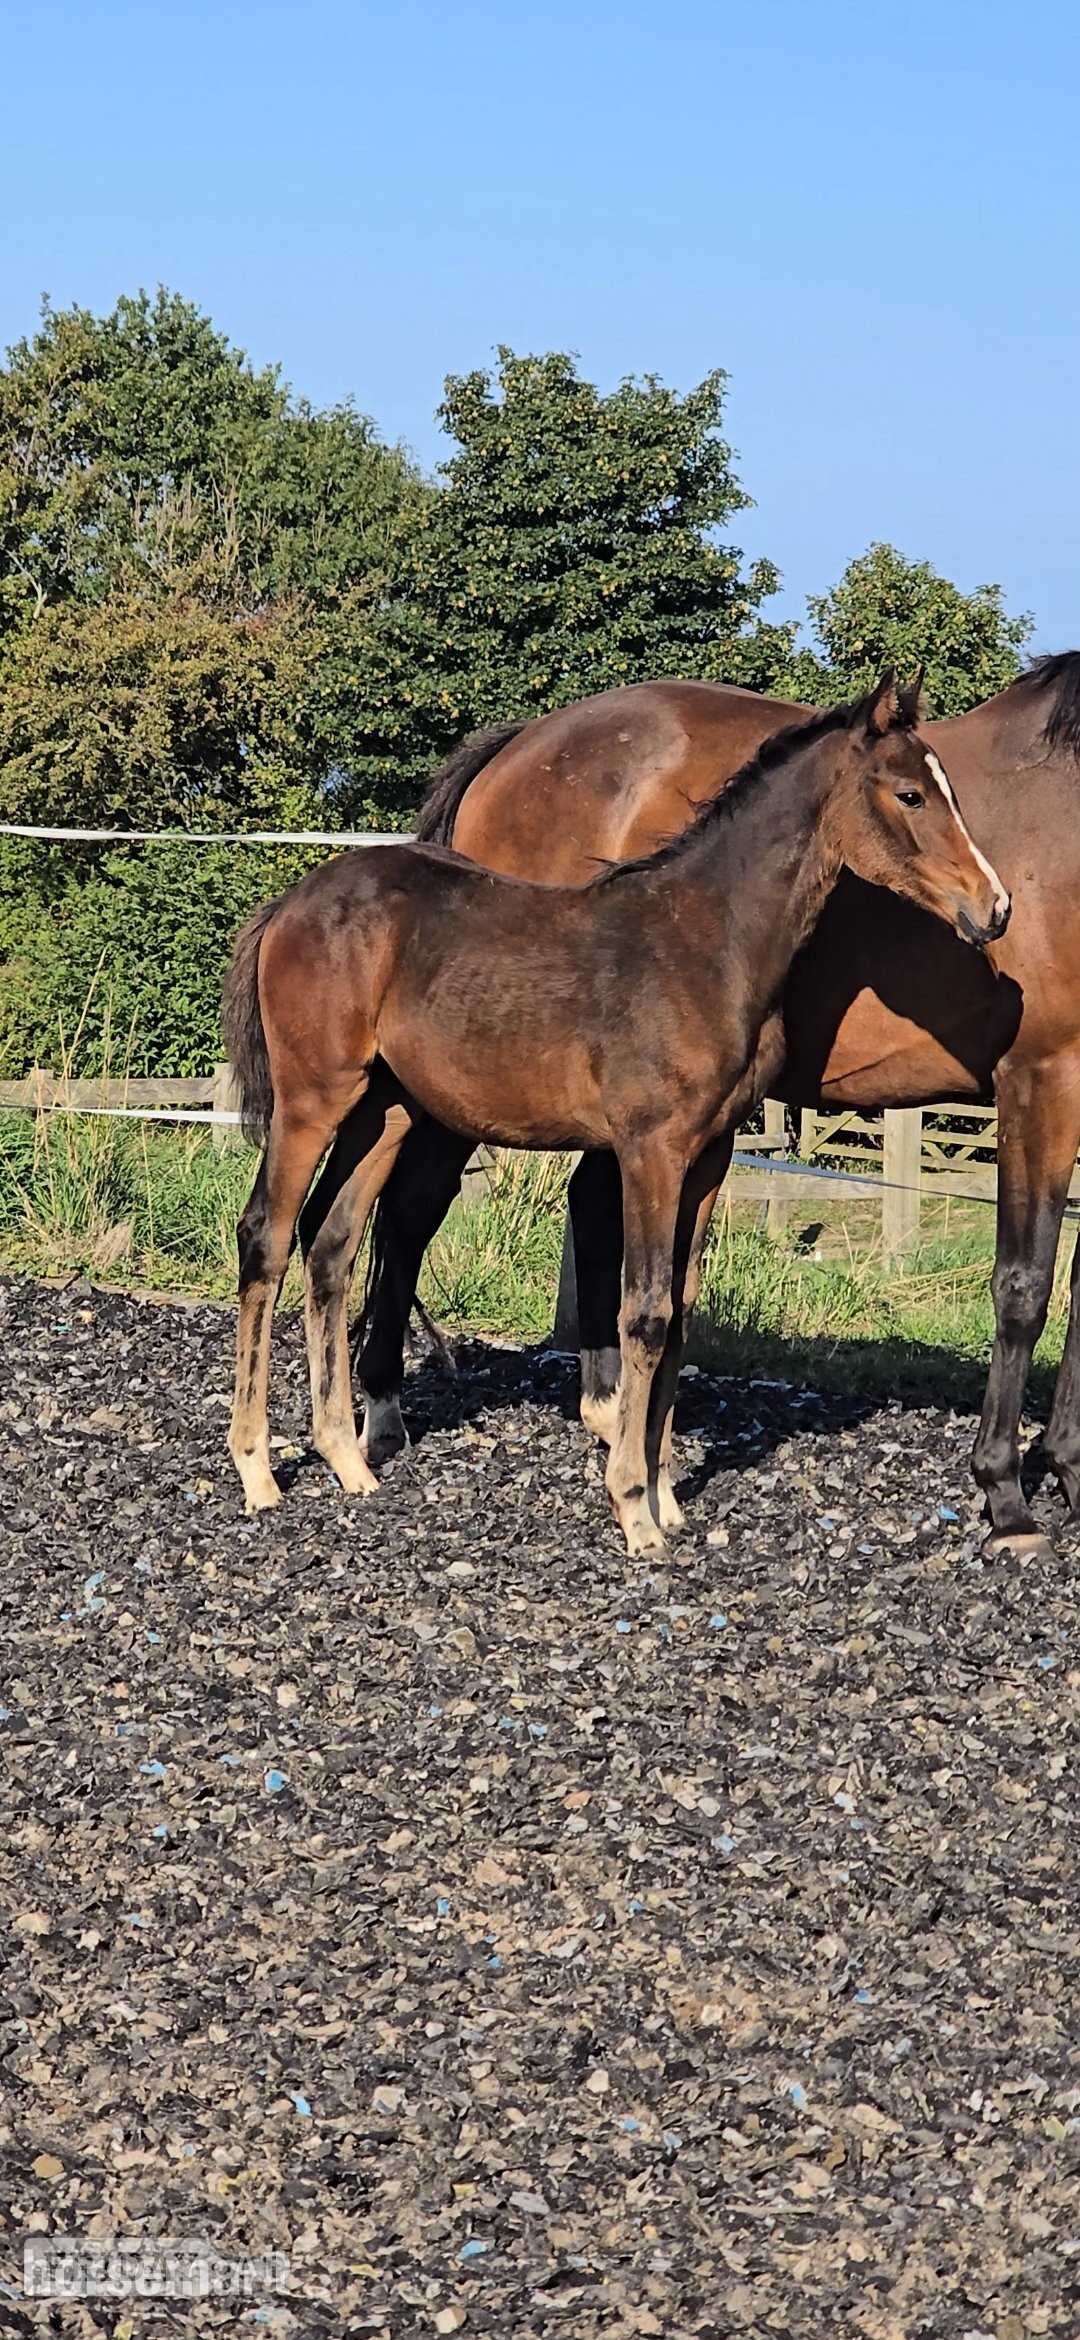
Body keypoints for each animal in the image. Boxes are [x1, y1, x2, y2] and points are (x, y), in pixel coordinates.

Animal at [222, 677, 1006, 1555]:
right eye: (909, 793)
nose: (995, 907)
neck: (707, 942)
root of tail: (292, 902)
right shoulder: (650, 1150)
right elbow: (645, 1312)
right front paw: (634, 1508)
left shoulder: (710, 1154)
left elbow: (681, 1313)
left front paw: (666, 1496)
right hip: (312, 1099)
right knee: (267, 1238)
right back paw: (257, 1470)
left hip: (384, 1109)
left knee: (333, 1244)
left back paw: (346, 1459)